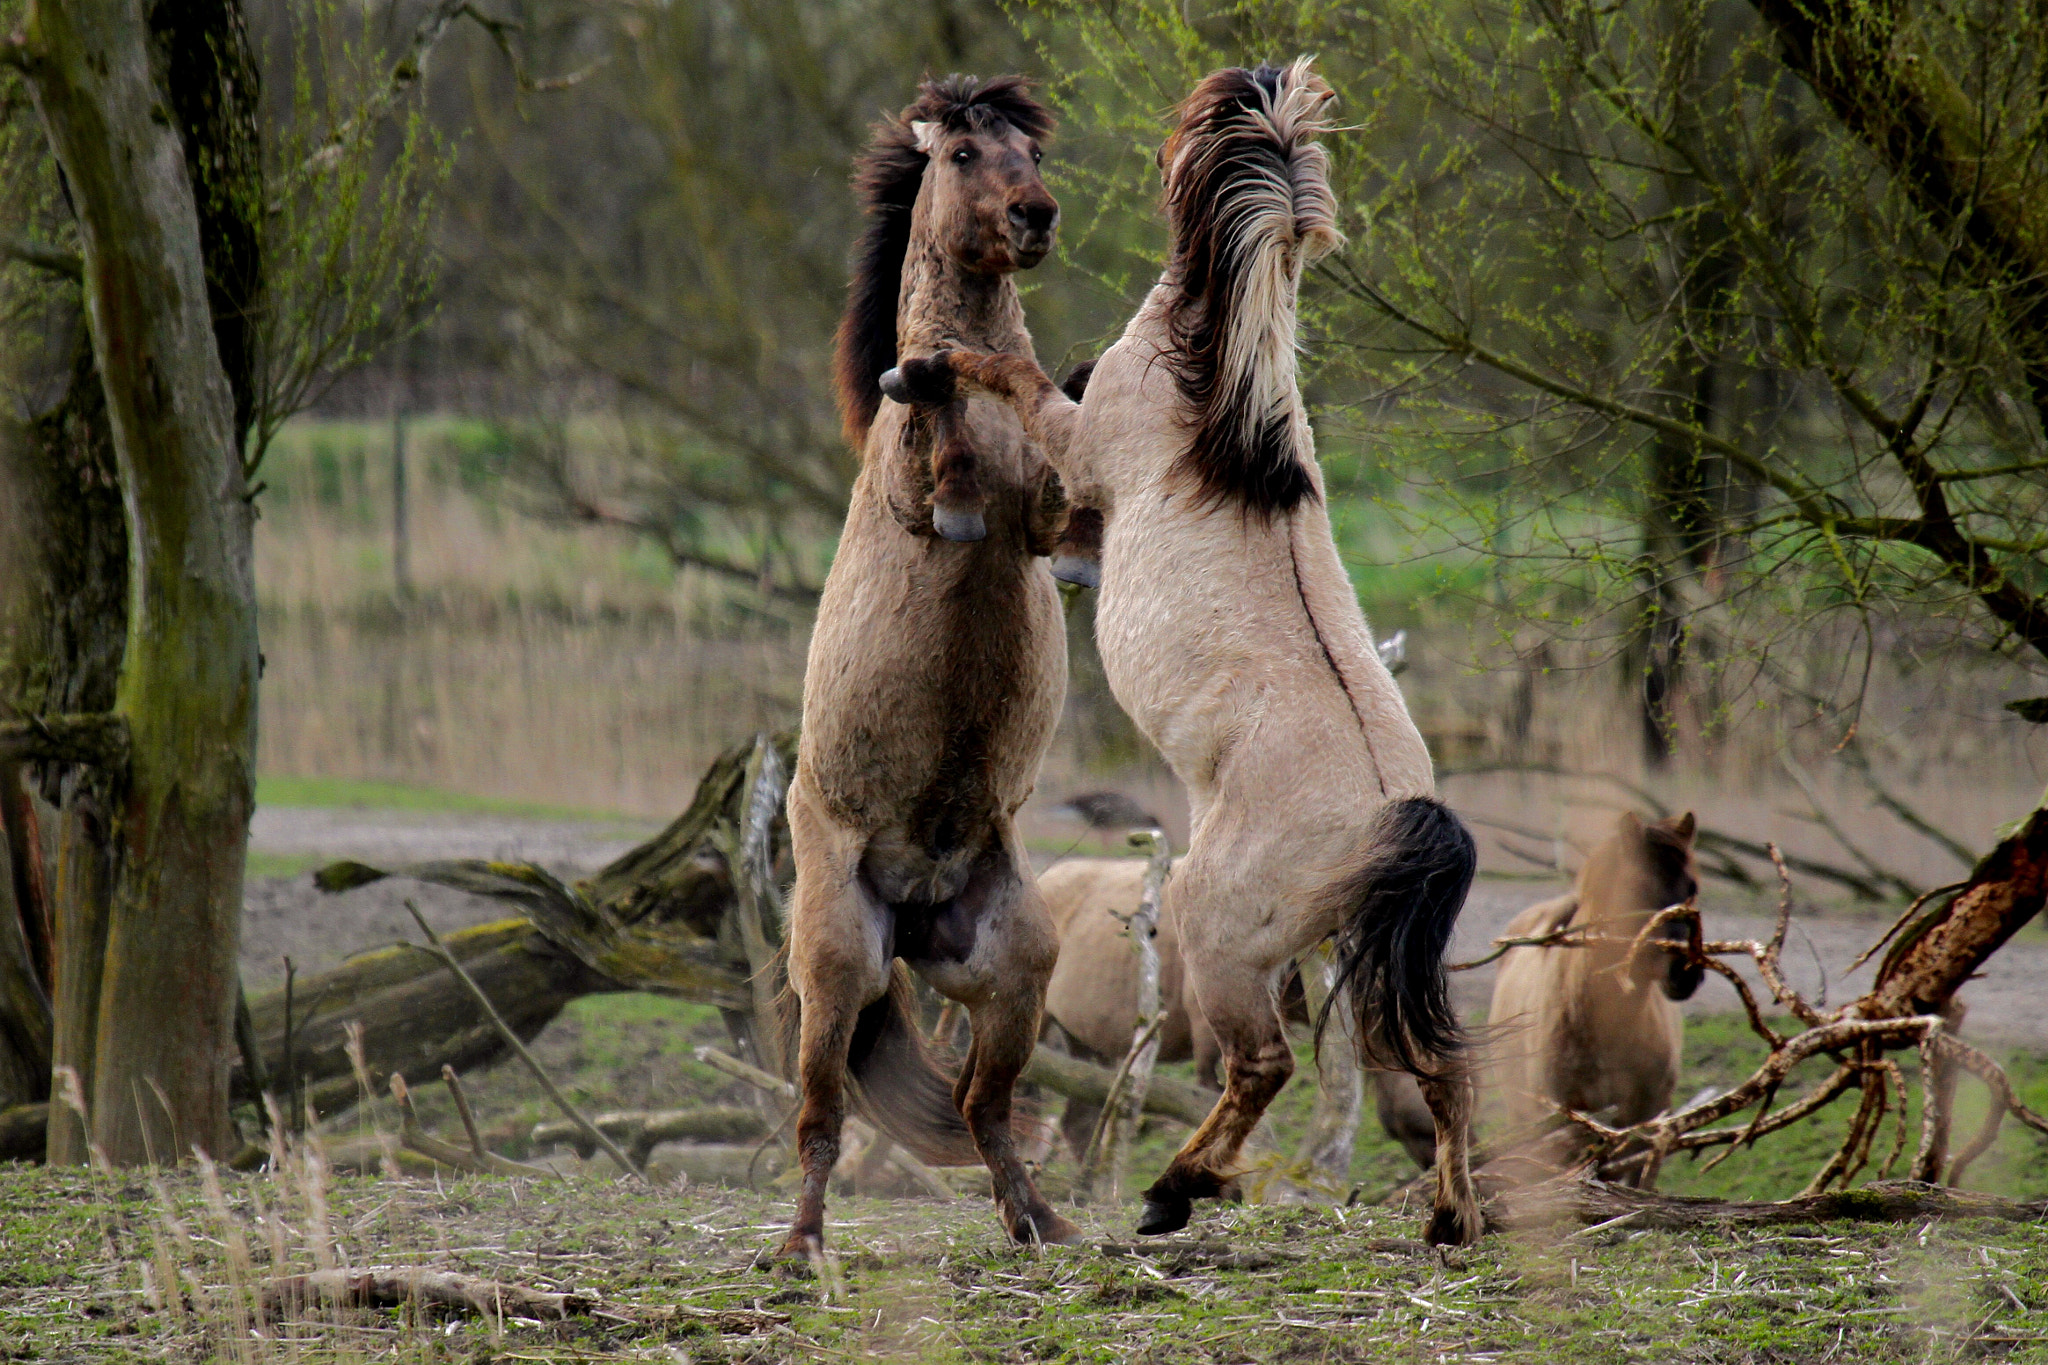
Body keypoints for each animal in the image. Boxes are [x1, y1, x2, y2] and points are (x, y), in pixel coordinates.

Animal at [778, 74, 1080, 1258]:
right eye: (958, 153)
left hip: (1016, 969)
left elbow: (1049, 462)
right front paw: (940, 413)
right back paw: (797, 1247)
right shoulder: (911, 492)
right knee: (818, 1116)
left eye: (1032, 151)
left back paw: (1041, 1219)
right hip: (836, 962)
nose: (1035, 215)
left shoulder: (1047, 519)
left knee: (981, 1106)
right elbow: (933, 432)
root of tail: (910, 910)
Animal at [881, 60, 1483, 1244]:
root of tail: (1394, 816)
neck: (1223, 413)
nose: (1041, 209)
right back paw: (1446, 1219)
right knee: (1429, 1064)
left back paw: (1173, 1192)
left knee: (1262, 1067)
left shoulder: (1075, 448)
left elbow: (1014, 375)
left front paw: (933, 364)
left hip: (1216, 942)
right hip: (1351, 956)